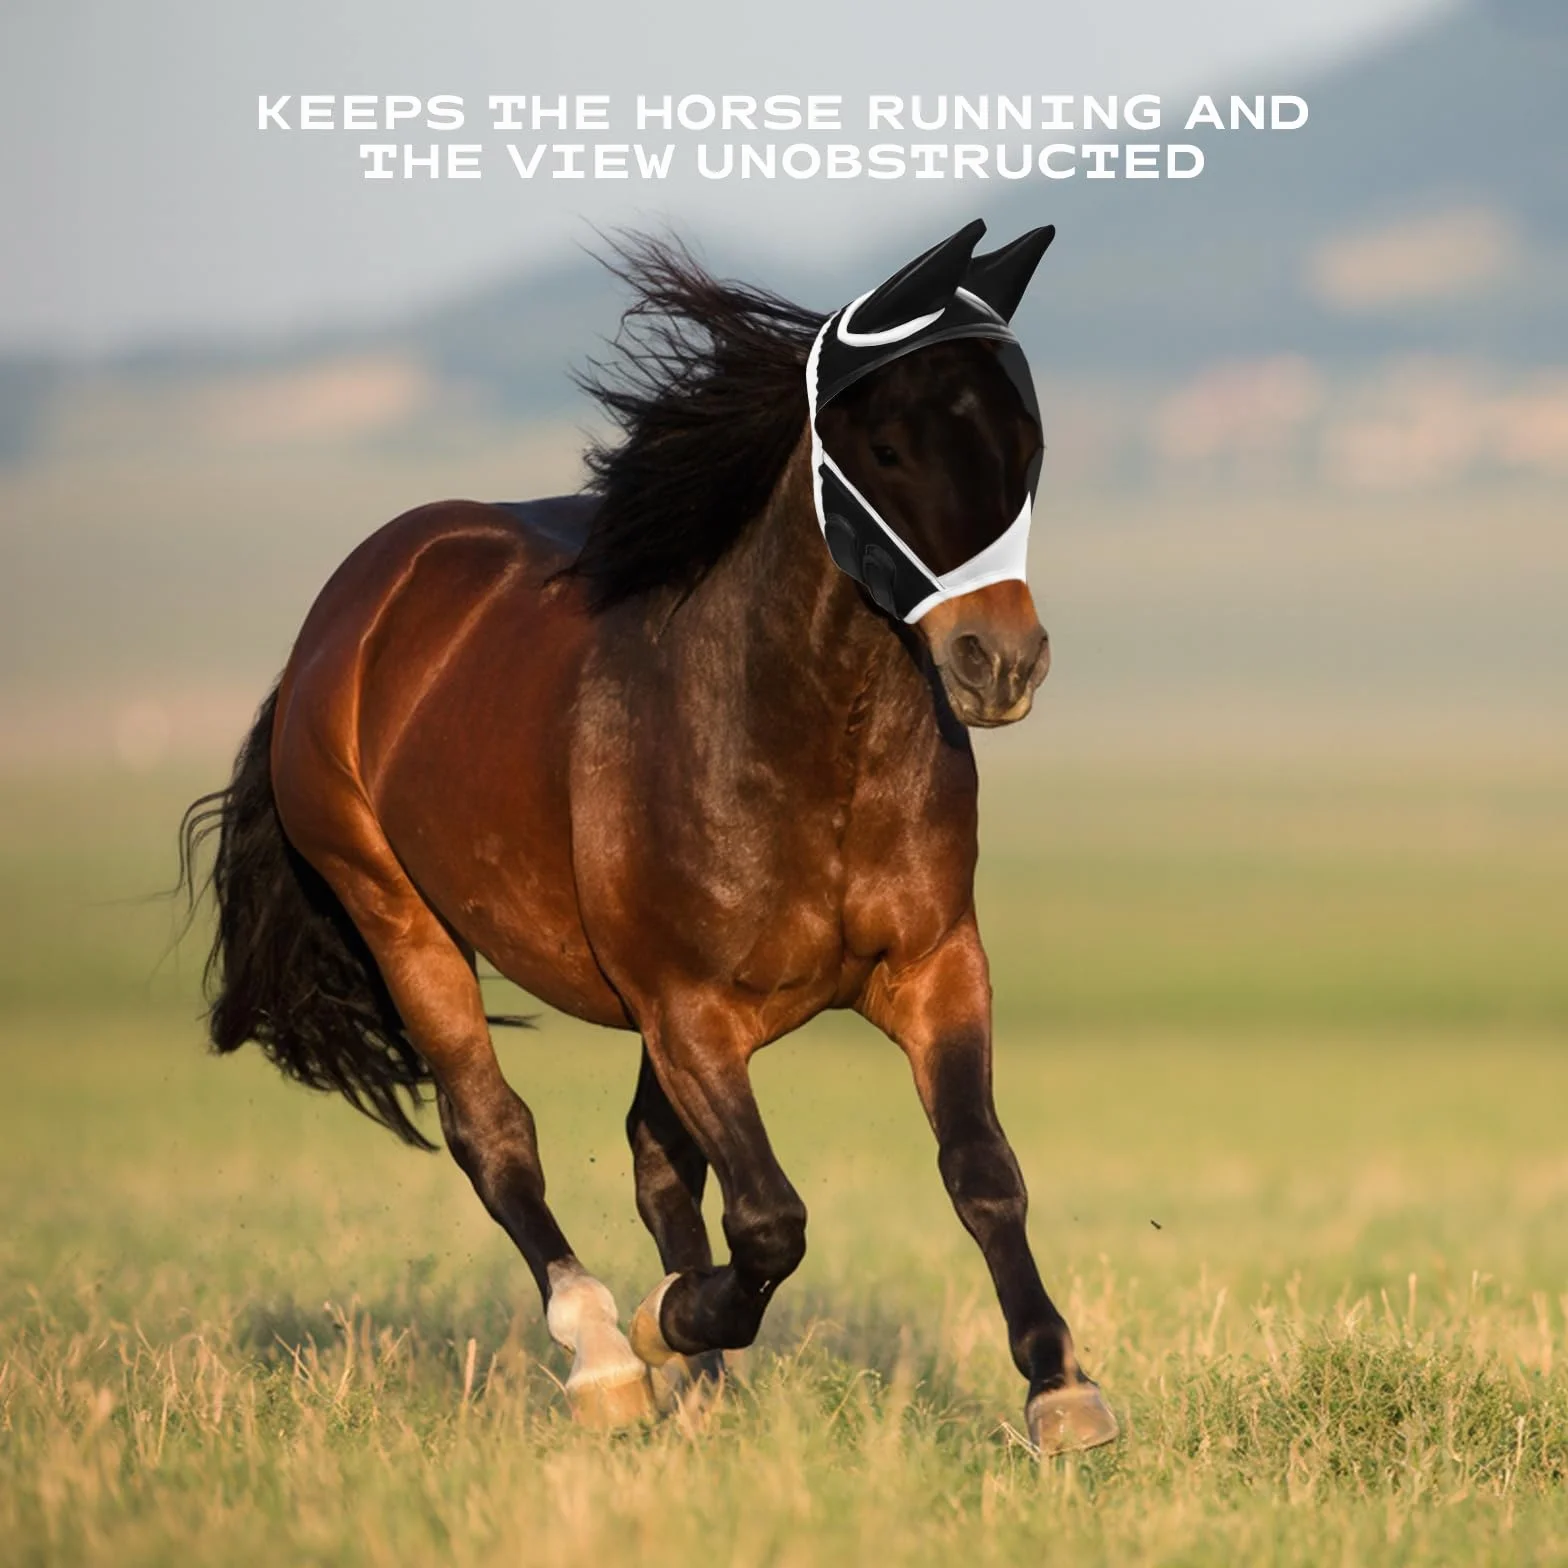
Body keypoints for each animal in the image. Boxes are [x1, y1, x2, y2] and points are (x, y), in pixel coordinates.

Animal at [180, 218, 1119, 1455]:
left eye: (1025, 440)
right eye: (884, 443)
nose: (997, 660)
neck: (797, 733)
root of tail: (351, 608)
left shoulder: (931, 965)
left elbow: (979, 1170)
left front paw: (1059, 1389)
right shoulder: (688, 1009)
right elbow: (770, 1218)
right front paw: (668, 1321)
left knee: (647, 1155)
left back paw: (695, 1384)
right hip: (401, 918)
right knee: (496, 1135)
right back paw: (607, 1356)